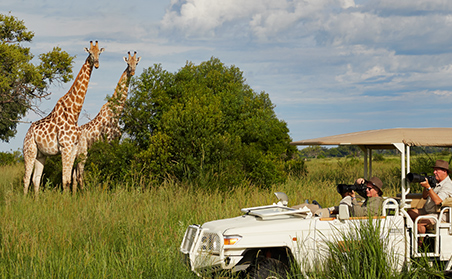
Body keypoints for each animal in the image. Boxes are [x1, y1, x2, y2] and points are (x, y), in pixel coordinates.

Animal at [23, 41, 104, 195]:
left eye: (99, 53)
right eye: (90, 53)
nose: (97, 64)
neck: (74, 113)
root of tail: (27, 132)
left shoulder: (73, 148)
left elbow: (69, 180)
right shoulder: (65, 147)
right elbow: (65, 179)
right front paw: (65, 200)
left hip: (41, 154)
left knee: (36, 179)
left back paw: (36, 200)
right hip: (29, 150)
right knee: (26, 179)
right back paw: (24, 200)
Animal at [72, 50, 141, 190]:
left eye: (136, 63)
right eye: (128, 63)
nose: (132, 72)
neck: (116, 113)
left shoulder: (116, 140)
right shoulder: (108, 140)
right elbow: (109, 164)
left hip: (77, 155)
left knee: (73, 177)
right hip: (83, 153)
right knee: (79, 175)